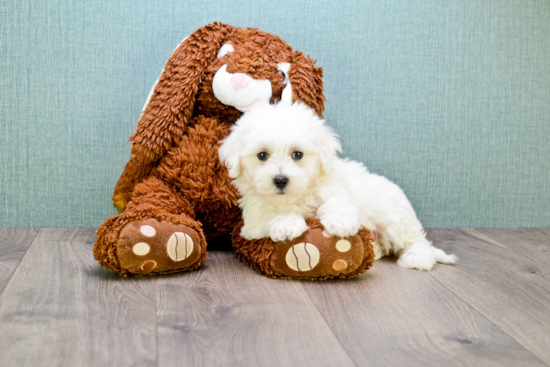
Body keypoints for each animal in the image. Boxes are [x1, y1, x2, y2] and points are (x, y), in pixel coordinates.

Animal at [219, 100, 458, 270]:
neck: (297, 196)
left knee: (416, 241)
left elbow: (337, 202)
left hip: (394, 217)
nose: (280, 180)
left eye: (298, 155)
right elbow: (270, 215)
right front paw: (287, 224)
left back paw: (417, 258)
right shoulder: (253, 221)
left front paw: (340, 222)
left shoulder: (336, 189)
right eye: (262, 155)